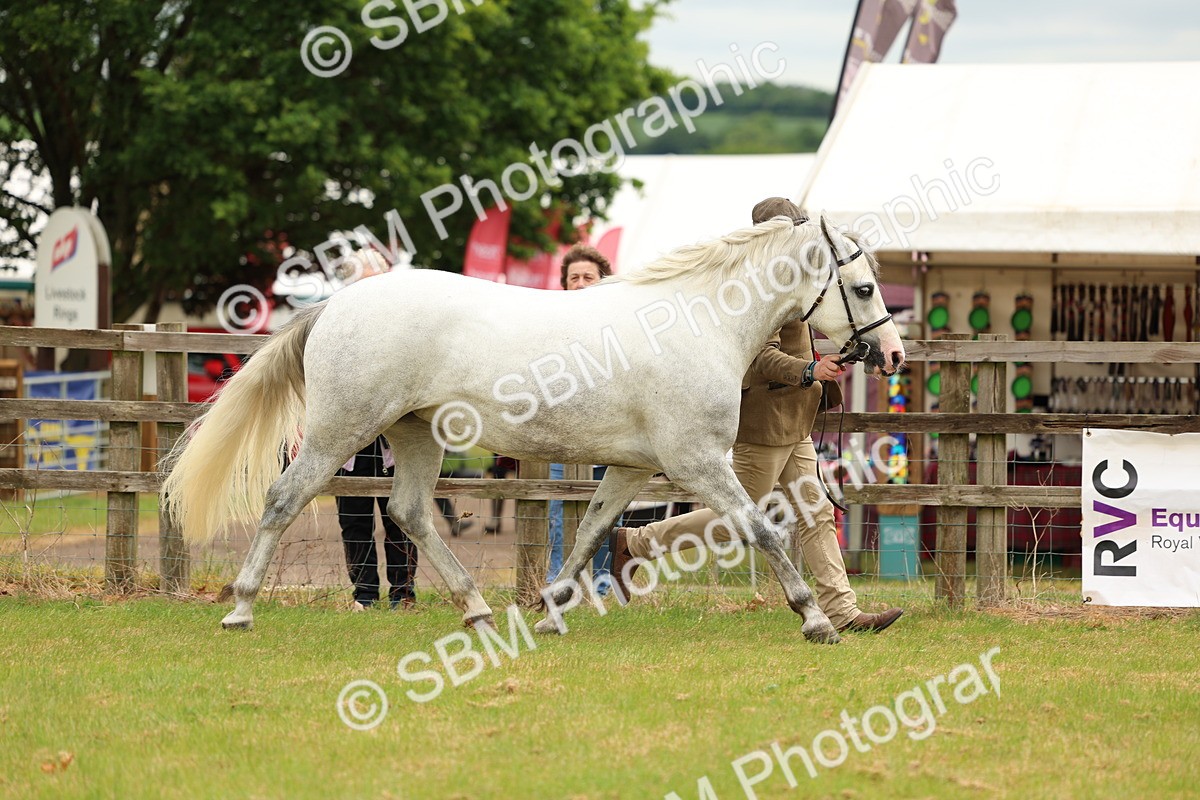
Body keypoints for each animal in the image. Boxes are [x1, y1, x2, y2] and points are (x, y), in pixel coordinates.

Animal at [162, 216, 904, 644]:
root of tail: (338, 302)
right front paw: (814, 619)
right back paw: (240, 610)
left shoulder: (634, 468)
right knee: (285, 500)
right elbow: (761, 529)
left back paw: (477, 610)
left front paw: (551, 612)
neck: (697, 322)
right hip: (339, 433)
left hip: (416, 435)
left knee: (409, 512)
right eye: (864, 287)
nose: (894, 355)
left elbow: (592, 531)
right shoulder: (700, 464)